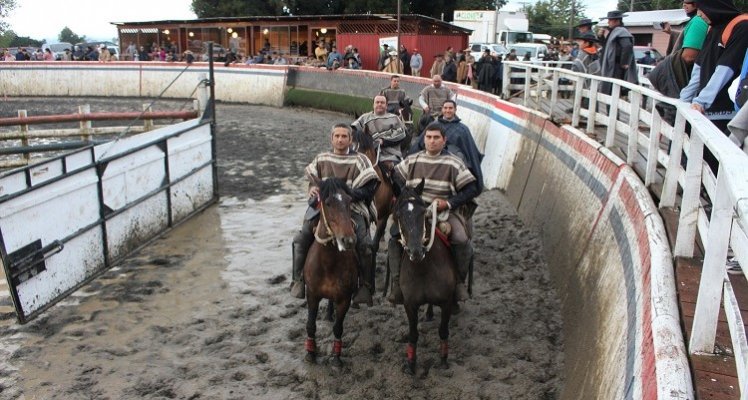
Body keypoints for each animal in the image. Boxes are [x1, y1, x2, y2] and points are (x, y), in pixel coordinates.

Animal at [302, 177, 358, 368]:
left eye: (349, 201)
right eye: (327, 203)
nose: (348, 240)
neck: (328, 264)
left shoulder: (344, 299)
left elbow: (338, 328)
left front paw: (336, 358)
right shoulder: (312, 295)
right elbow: (310, 325)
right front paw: (310, 353)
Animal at [392, 179, 456, 376]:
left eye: (424, 212)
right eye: (398, 214)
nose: (416, 251)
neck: (424, 270)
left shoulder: (447, 302)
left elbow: (443, 330)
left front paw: (443, 361)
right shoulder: (409, 304)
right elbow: (413, 335)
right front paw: (411, 365)